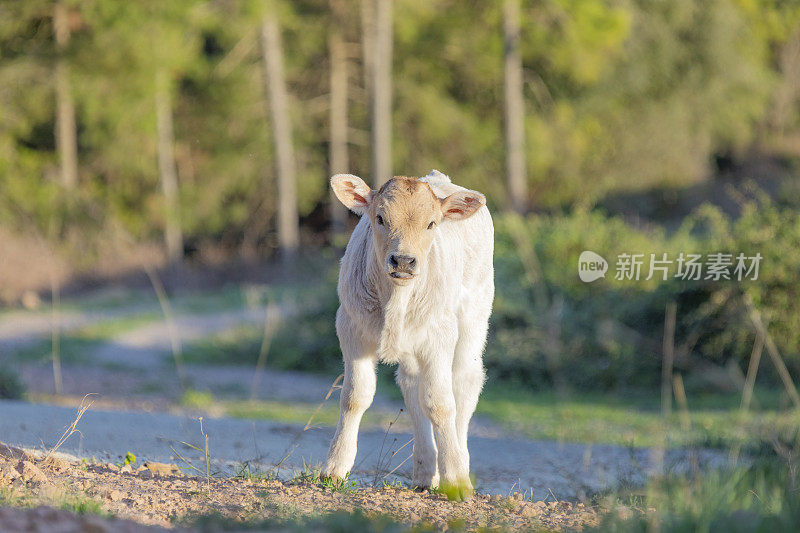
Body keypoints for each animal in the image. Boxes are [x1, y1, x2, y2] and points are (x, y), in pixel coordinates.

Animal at [322, 169, 490, 498]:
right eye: (380, 218)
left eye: (431, 223)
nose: (403, 261)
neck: (396, 300)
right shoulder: (350, 329)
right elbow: (354, 397)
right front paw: (335, 468)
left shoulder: (440, 336)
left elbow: (441, 403)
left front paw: (456, 480)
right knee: (413, 386)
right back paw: (425, 473)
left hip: (474, 318)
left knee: (464, 383)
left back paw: (459, 462)